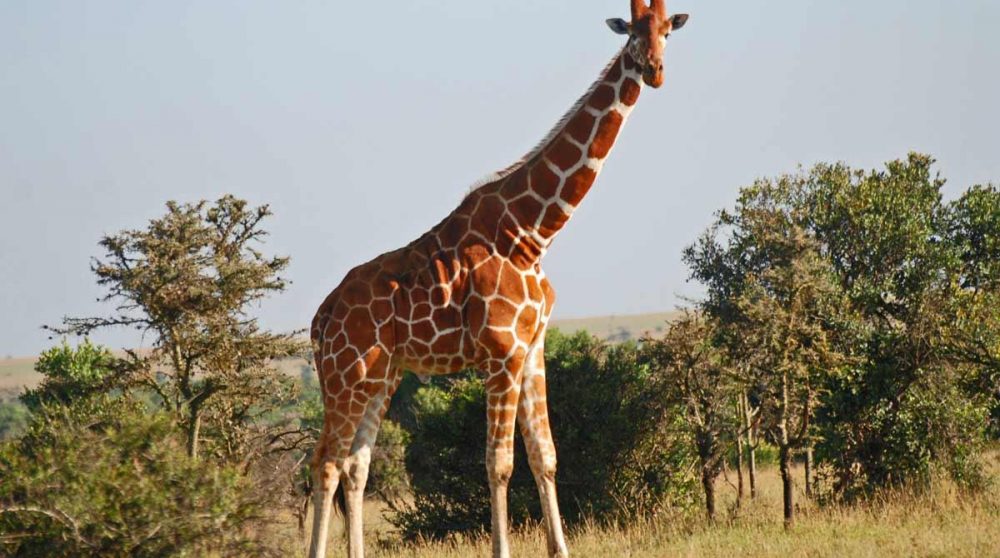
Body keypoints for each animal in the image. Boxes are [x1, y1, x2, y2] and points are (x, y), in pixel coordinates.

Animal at [308, 2, 689, 557]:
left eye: (665, 31)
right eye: (633, 32)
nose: (655, 71)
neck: (533, 231)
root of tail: (321, 317)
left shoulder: (532, 350)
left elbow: (545, 455)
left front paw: (561, 548)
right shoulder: (501, 353)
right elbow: (500, 464)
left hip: (381, 376)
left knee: (356, 468)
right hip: (344, 376)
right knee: (327, 465)